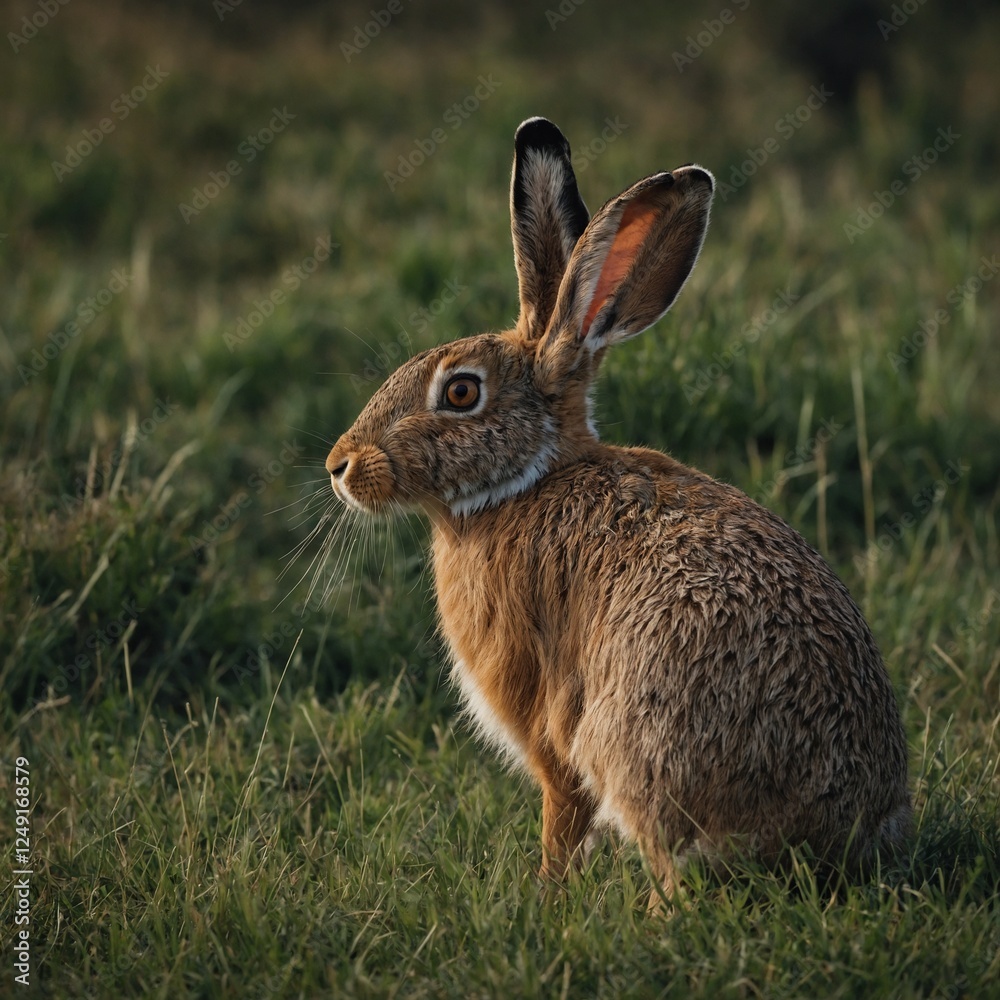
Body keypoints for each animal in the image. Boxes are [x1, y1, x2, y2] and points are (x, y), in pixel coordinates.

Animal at [325, 116, 912, 904]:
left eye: (460, 393)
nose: (339, 466)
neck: (525, 483)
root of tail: (834, 834)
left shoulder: (546, 720)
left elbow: (561, 809)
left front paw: (543, 892)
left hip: (637, 740)